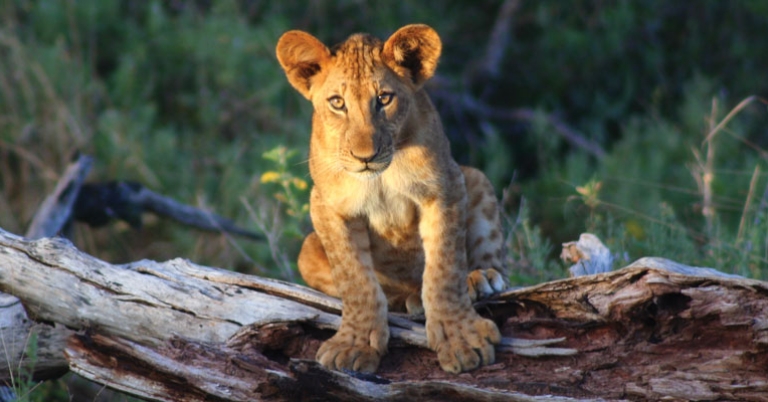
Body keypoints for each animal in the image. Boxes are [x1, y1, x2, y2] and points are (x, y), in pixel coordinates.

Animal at [276, 24, 507, 374]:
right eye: (337, 102)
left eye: (383, 99)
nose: (365, 157)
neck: (381, 176)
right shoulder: (327, 205)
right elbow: (355, 279)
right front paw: (354, 345)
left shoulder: (446, 186)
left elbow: (445, 268)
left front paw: (461, 340)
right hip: (307, 249)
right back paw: (408, 299)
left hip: (476, 178)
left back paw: (479, 278)